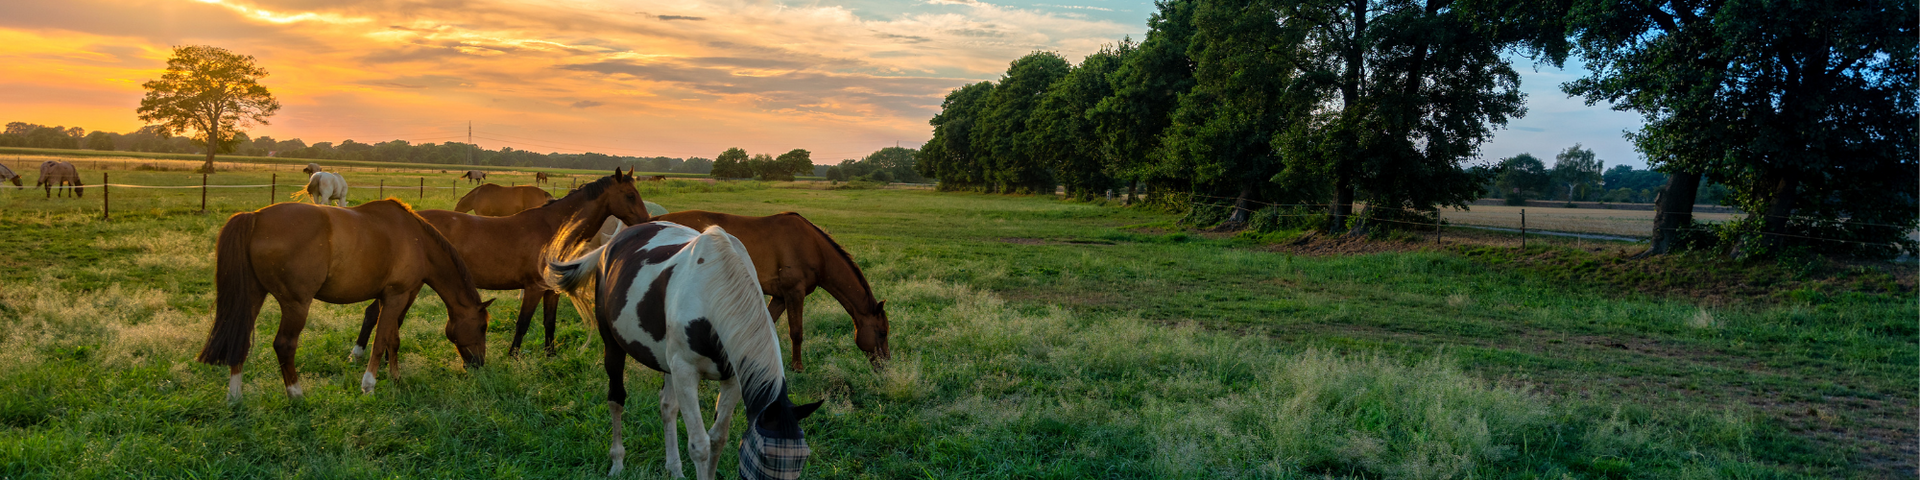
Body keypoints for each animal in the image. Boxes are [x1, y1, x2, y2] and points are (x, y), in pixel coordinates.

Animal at [196, 199, 493, 403]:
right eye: (482, 327)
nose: (479, 364)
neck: (417, 240)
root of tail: (256, 217)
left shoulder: (390, 298)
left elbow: (393, 339)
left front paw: (396, 378)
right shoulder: (396, 296)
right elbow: (380, 342)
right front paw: (369, 385)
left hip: (253, 296)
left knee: (240, 339)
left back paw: (235, 397)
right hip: (296, 304)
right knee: (284, 345)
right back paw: (296, 394)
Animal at [353, 169, 652, 359]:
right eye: (629, 195)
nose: (646, 222)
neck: (552, 229)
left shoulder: (551, 290)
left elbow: (550, 323)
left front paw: (550, 354)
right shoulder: (533, 288)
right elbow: (523, 323)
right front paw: (513, 355)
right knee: (375, 313)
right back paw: (359, 352)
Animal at [548, 221, 822, 479]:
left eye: (803, 459)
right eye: (765, 457)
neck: (714, 291)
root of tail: (611, 244)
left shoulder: (733, 377)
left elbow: (717, 438)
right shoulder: (685, 372)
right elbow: (700, 445)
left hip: (667, 362)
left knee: (667, 407)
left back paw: (674, 468)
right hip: (613, 346)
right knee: (616, 399)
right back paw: (617, 463)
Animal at [655, 210, 890, 371]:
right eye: (882, 332)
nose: (886, 363)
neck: (813, 247)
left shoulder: (779, 297)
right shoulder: (794, 293)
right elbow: (796, 332)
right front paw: (797, 367)